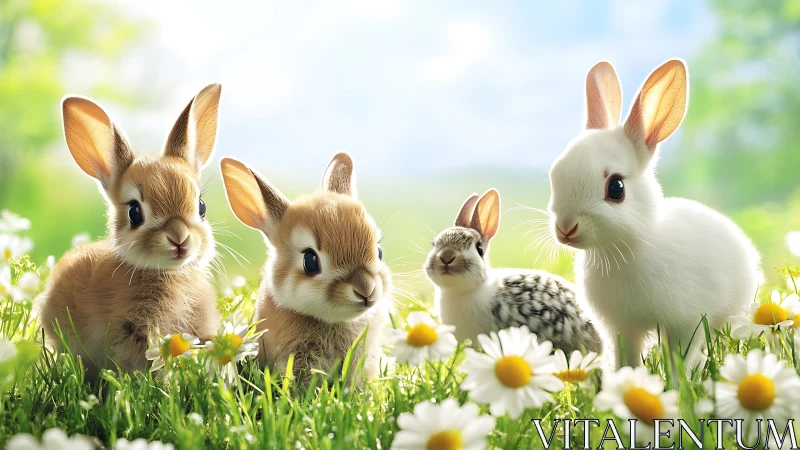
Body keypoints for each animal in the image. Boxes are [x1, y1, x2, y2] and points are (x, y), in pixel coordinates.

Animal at [547, 59, 761, 369]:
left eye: (616, 188)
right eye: (554, 174)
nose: (566, 227)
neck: (625, 249)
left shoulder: (685, 323)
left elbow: (678, 358)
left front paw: (675, 378)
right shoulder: (622, 328)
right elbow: (627, 356)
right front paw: (627, 376)